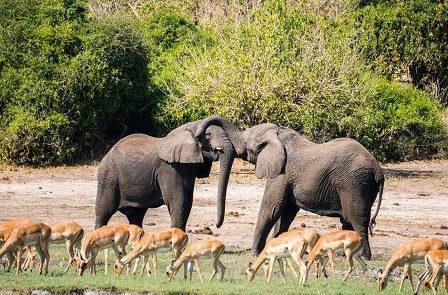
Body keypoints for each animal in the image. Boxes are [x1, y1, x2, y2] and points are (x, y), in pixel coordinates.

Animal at [94, 115, 245, 231]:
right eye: (208, 135)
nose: (216, 225)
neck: (188, 129)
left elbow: (188, 201)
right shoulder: (169, 168)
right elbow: (178, 200)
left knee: (136, 216)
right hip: (108, 177)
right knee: (103, 213)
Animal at [243, 123, 384, 260]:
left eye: (245, 142)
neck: (279, 132)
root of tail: (378, 171)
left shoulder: (282, 173)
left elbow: (271, 210)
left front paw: (254, 255)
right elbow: (287, 213)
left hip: (355, 183)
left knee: (358, 220)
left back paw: (363, 257)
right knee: (348, 221)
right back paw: (345, 255)